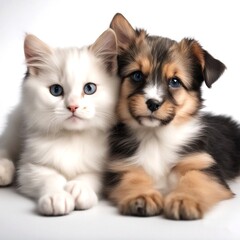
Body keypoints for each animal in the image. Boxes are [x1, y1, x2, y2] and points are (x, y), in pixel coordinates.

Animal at [0, 28, 119, 216]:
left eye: (89, 88)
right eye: (56, 90)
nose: (72, 106)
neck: (71, 138)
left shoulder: (105, 168)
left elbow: (90, 176)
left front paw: (79, 189)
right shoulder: (31, 167)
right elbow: (51, 178)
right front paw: (56, 197)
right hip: (16, 125)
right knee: (6, 146)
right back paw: (3, 170)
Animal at [103, 12, 240, 219]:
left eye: (175, 81)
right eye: (137, 75)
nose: (152, 103)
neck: (155, 137)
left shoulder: (205, 167)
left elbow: (195, 180)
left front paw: (184, 200)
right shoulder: (122, 167)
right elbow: (133, 177)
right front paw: (143, 196)